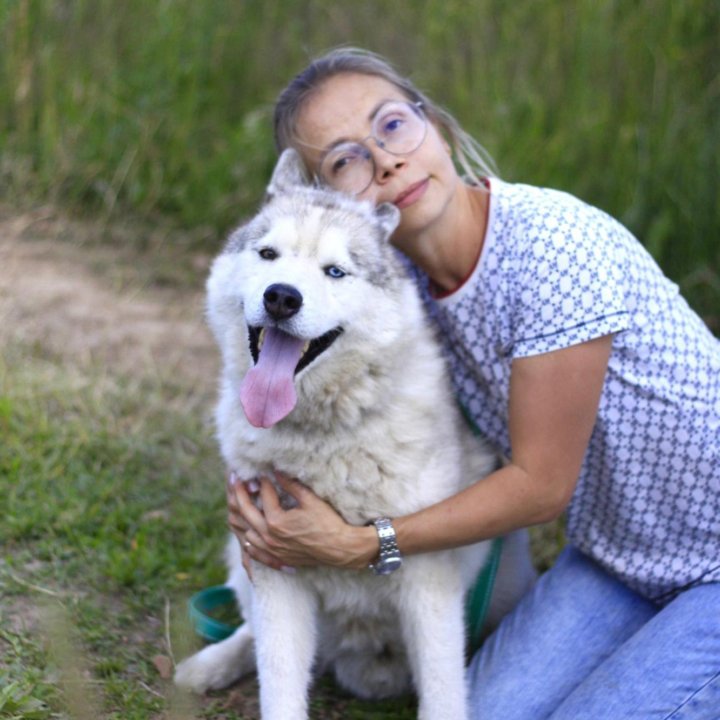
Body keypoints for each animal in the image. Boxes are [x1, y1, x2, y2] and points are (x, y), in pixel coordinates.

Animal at [174, 149, 536, 716]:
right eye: (268, 254)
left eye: (335, 271)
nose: (282, 297)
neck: (322, 436)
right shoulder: (274, 569)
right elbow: (279, 682)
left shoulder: (429, 584)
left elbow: (443, 692)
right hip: (242, 557)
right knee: (250, 633)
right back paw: (209, 664)